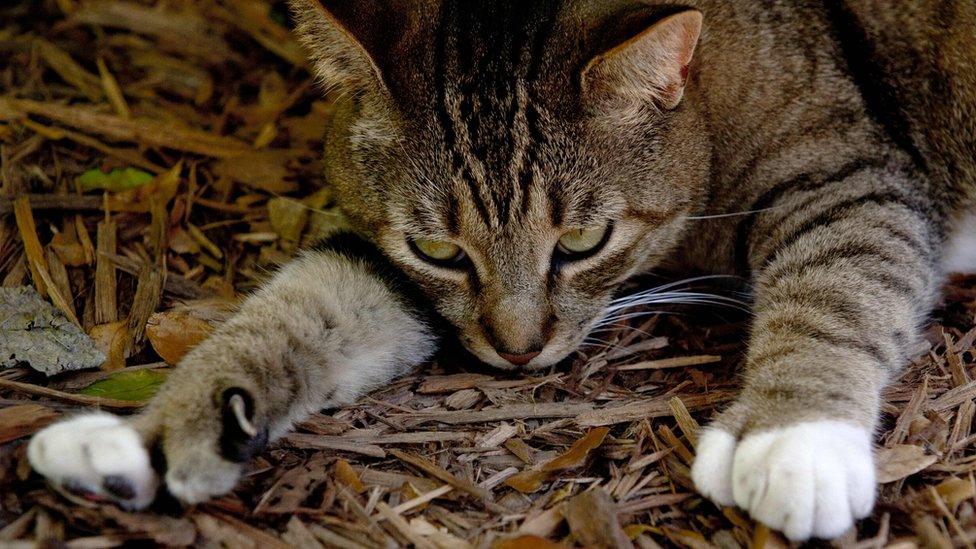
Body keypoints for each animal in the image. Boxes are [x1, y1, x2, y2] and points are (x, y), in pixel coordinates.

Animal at [26, 0, 972, 540]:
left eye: (583, 241)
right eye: (442, 251)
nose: (518, 351)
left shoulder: (849, 174)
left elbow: (837, 287)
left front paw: (793, 437)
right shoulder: (394, 265)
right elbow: (303, 302)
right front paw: (149, 432)